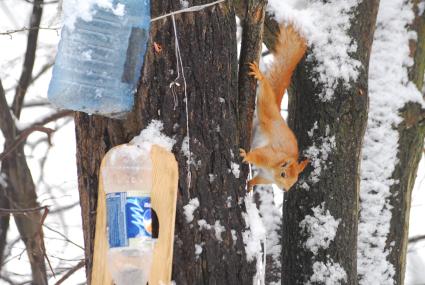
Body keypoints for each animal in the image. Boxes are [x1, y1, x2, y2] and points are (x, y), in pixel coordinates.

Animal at [238, 24, 308, 191]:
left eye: (294, 181)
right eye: (283, 174)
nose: (284, 190)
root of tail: (277, 111)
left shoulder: (266, 177)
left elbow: (259, 179)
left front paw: (250, 184)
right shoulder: (270, 156)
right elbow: (257, 156)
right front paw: (246, 156)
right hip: (267, 110)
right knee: (265, 97)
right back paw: (260, 76)